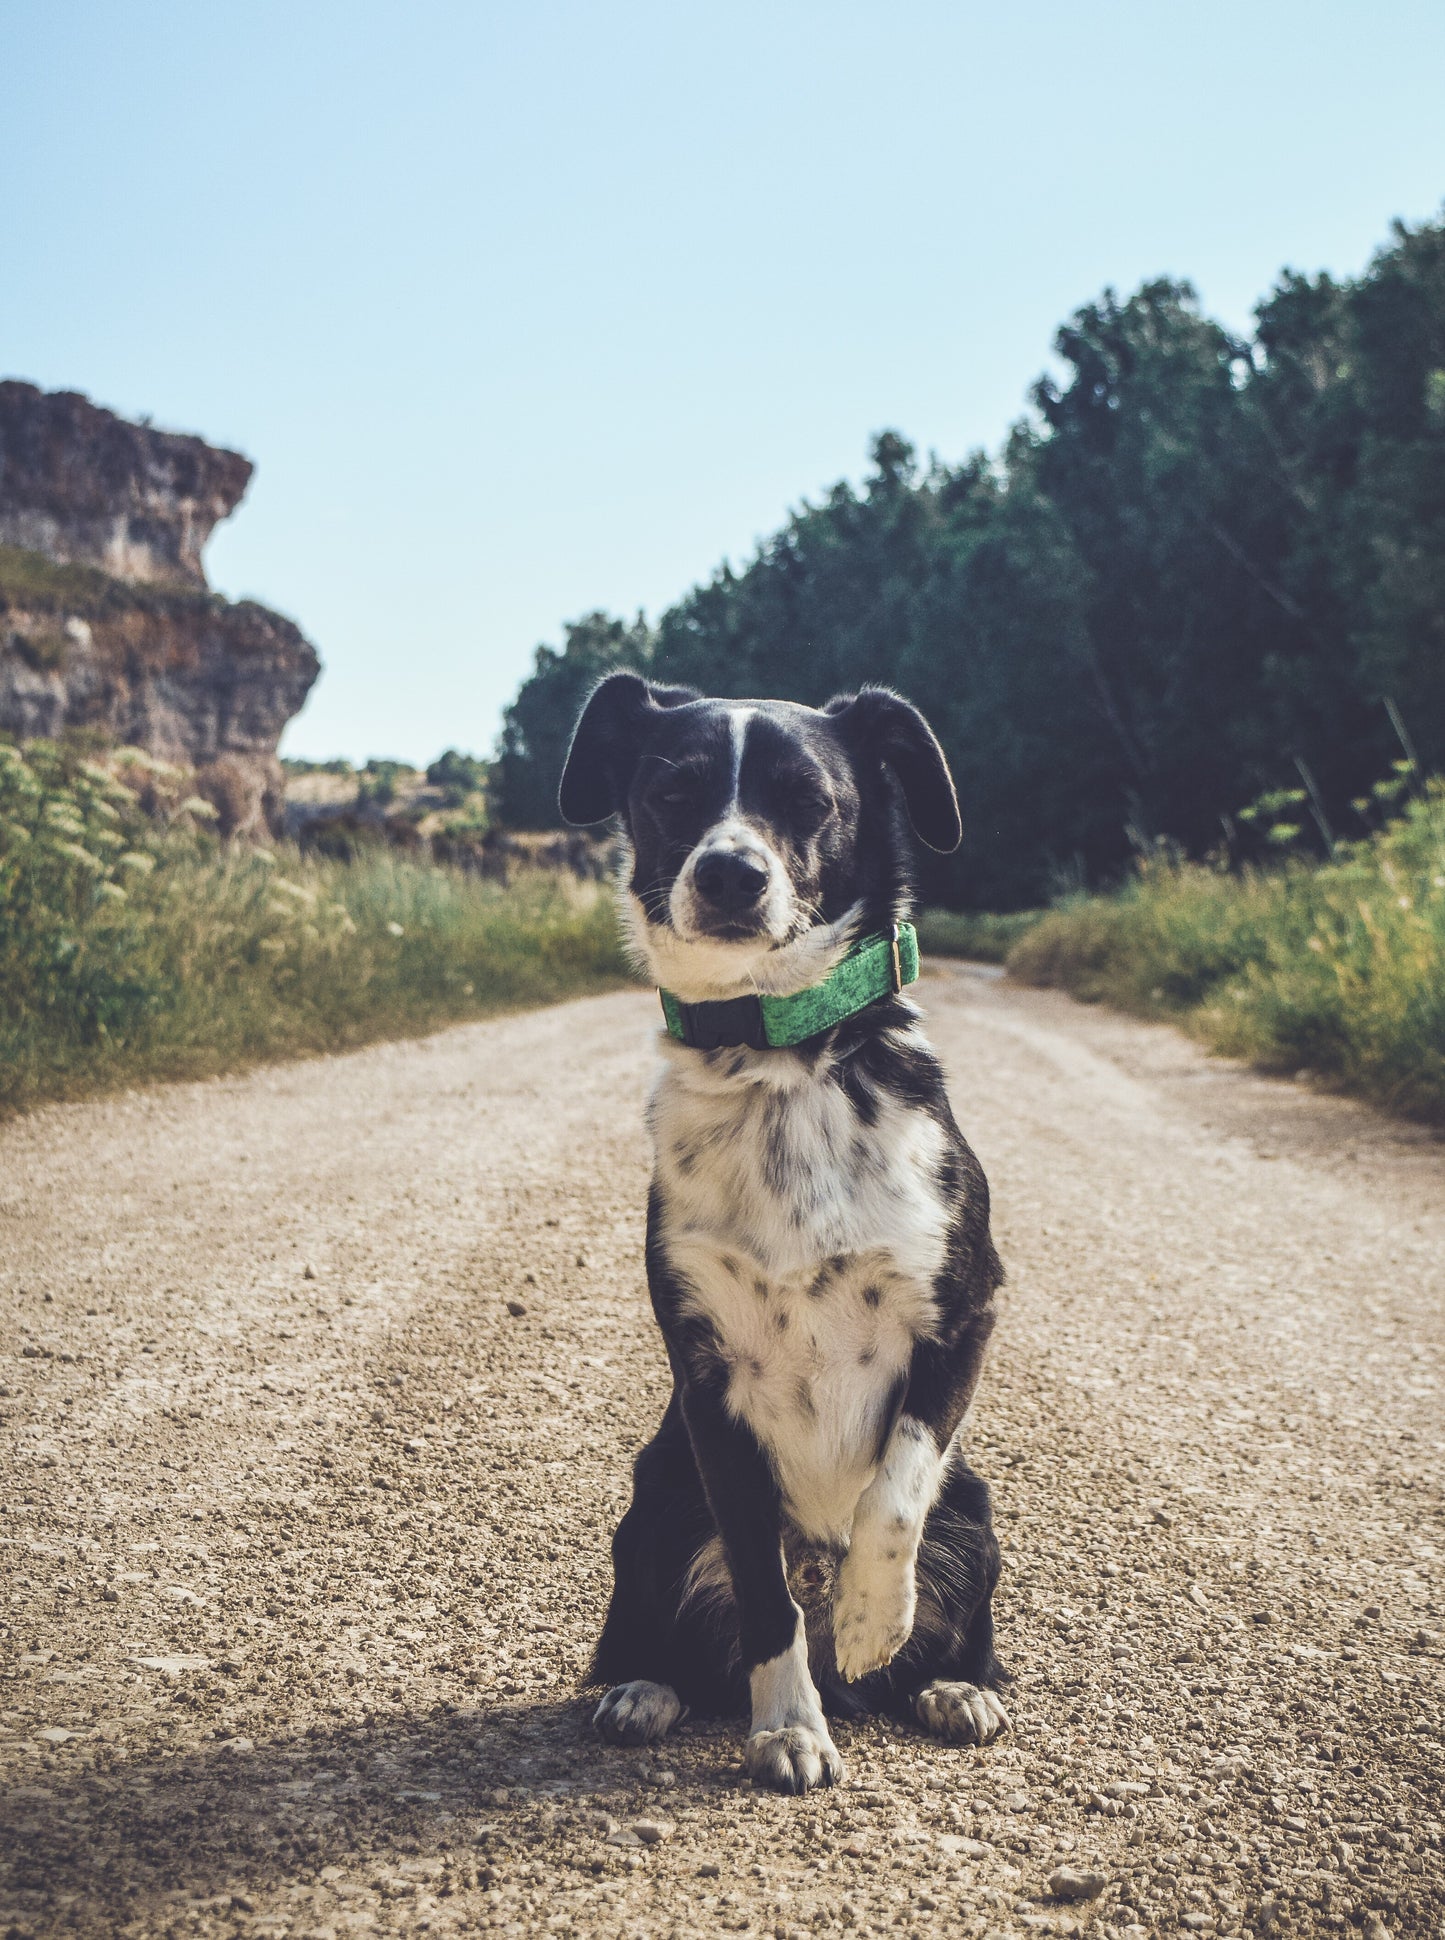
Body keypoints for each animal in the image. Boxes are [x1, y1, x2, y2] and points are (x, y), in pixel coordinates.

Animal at [554, 675, 1000, 1792]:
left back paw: (951, 1684)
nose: (728, 872)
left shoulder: (966, 1312)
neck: (778, 1056)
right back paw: (645, 1689)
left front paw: (871, 1614)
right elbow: (767, 1592)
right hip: (656, 1500)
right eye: (672, 791)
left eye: (809, 799)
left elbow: (894, 1488)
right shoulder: (711, 1385)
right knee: (654, 1639)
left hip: (977, 1512)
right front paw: (790, 1727)